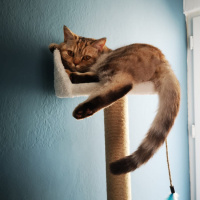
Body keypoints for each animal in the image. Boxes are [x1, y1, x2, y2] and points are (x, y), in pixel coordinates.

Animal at [49, 25, 180, 174]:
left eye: (86, 57)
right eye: (70, 53)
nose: (75, 63)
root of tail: (163, 60)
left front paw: (55, 48)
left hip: (113, 66)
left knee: (121, 86)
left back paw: (80, 104)